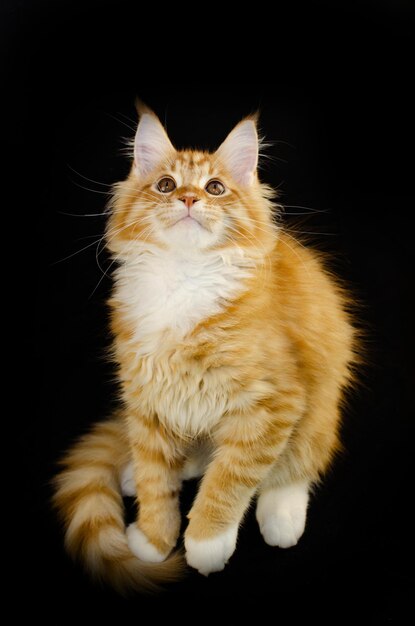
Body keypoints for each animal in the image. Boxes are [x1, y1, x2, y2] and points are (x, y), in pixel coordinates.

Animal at [52, 102, 358, 588]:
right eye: (166, 185)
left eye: (214, 188)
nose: (189, 199)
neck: (183, 278)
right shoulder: (147, 396)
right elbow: (157, 474)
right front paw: (154, 539)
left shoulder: (273, 403)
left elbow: (229, 479)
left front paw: (206, 544)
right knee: (186, 458)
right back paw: (136, 475)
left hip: (320, 409)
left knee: (293, 466)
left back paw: (282, 516)